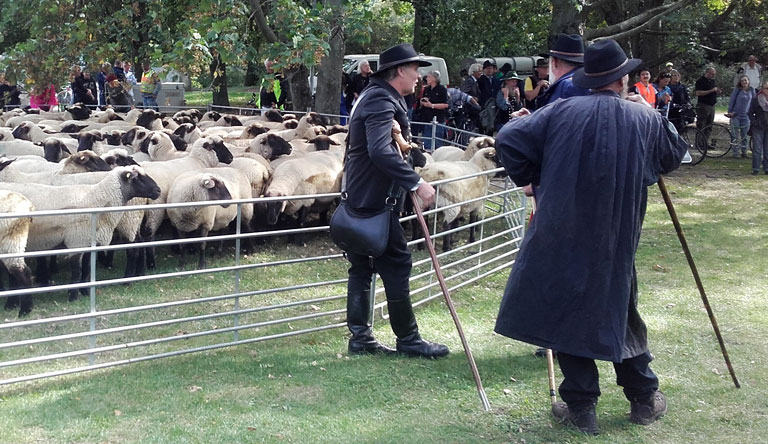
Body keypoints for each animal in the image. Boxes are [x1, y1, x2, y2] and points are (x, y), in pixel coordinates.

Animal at [0, 166, 160, 302]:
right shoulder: (76, 240)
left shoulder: (87, 241)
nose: (158, 190)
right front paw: (74, 295)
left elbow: (86, 267)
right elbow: (77, 269)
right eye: (138, 178)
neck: (96, 199)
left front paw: (85, 291)